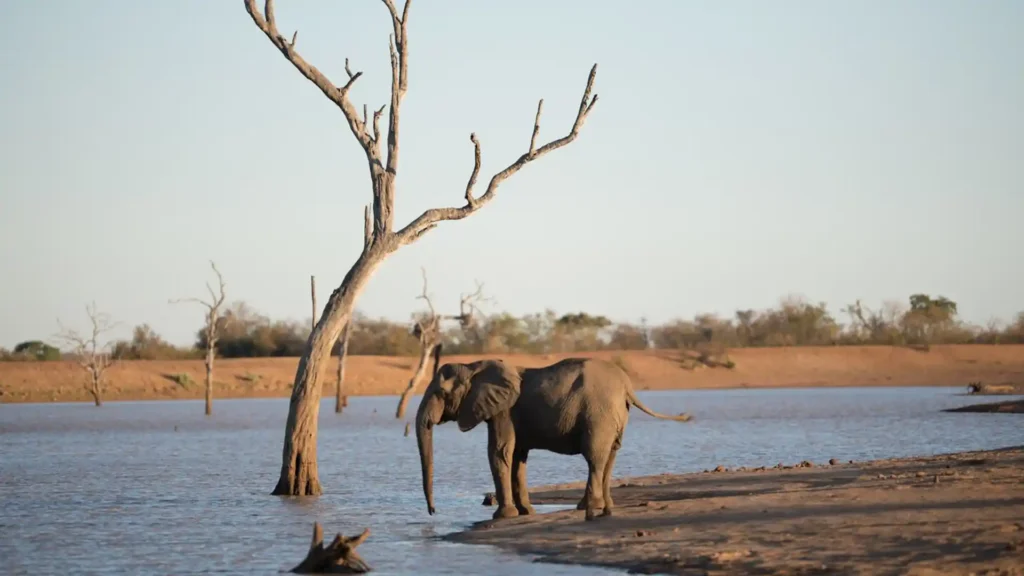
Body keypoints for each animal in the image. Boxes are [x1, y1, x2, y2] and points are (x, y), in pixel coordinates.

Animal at [411, 354, 692, 520]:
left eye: (441, 393)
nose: (433, 512)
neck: (474, 366)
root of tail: (627, 386)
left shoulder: (503, 411)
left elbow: (499, 452)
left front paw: (504, 516)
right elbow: (517, 457)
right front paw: (526, 512)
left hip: (599, 413)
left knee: (594, 457)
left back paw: (589, 508)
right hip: (616, 416)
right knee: (610, 456)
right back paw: (604, 507)